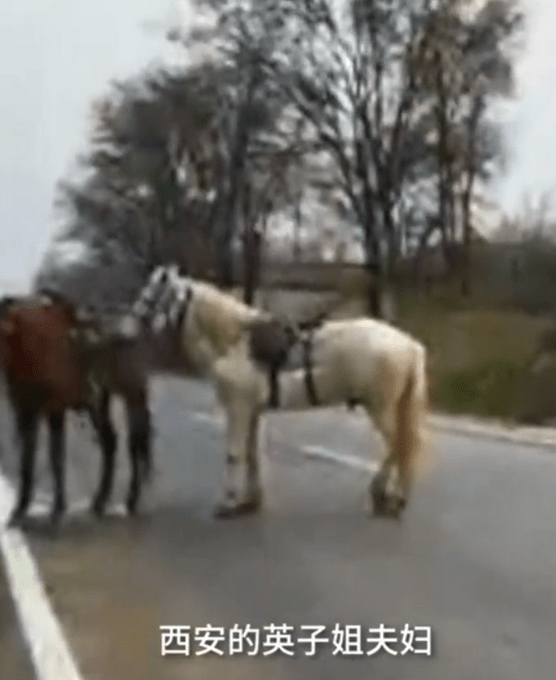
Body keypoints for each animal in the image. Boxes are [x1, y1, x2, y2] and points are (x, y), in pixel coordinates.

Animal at [0, 290, 152, 528]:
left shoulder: (55, 410)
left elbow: (56, 457)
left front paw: (57, 509)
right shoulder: (25, 412)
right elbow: (26, 459)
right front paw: (20, 508)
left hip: (132, 397)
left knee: (134, 444)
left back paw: (130, 500)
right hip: (98, 402)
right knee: (110, 442)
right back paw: (100, 501)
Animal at [134, 266, 430, 520]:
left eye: (156, 290)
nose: (135, 318)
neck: (234, 341)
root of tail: (409, 345)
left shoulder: (238, 408)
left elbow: (234, 454)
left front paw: (227, 502)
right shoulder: (252, 410)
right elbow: (252, 455)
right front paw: (251, 500)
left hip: (379, 407)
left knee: (399, 445)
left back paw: (390, 495)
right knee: (399, 447)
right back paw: (384, 494)